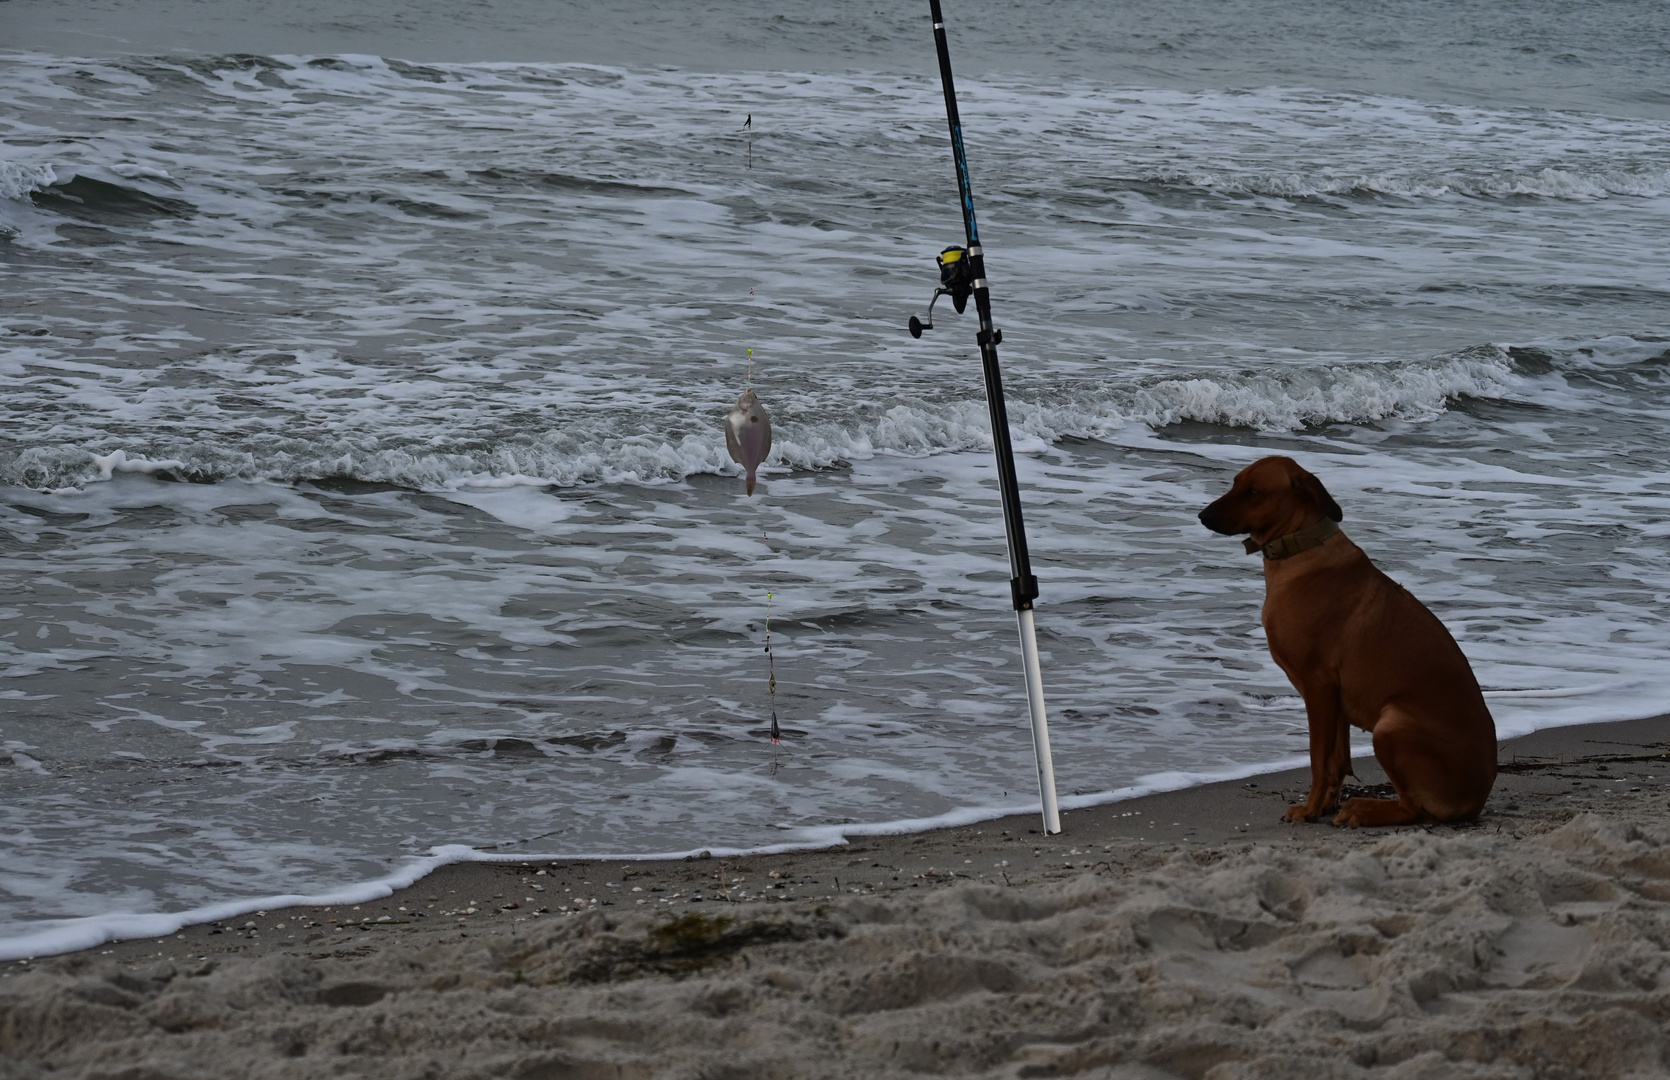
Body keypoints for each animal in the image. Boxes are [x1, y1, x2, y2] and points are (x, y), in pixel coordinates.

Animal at [1202, 457, 1503, 827]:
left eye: (1254, 491)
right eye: (1235, 483)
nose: (1203, 516)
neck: (1301, 549)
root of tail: (1478, 799)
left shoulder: (1318, 687)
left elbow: (1318, 758)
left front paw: (1309, 809)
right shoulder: (1337, 696)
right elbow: (1338, 759)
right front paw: (1325, 803)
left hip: (1391, 724)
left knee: (1413, 809)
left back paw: (1363, 809)